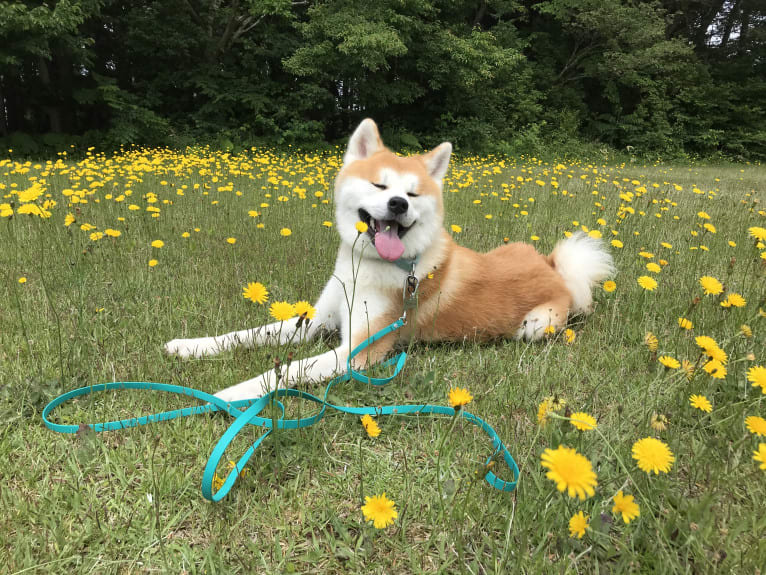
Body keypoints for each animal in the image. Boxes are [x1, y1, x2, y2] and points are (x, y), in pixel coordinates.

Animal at [165, 120, 616, 402]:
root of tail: (555, 270)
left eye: (413, 194)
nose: (399, 203)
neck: (365, 268)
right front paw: (191, 346)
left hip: (533, 327)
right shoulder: (318, 319)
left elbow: (282, 373)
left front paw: (230, 394)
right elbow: (245, 335)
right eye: (379, 185)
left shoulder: (356, 353)